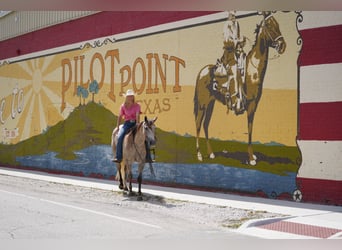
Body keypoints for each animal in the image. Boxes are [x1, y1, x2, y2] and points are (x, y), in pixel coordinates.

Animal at [195, 11, 286, 165]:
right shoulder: (251, 104)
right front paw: (251, 158)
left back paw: (211, 153)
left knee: (206, 125)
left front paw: (252, 156)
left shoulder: (255, 104)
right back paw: (199, 155)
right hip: (202, 104)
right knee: (198, 124)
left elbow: (250, 127)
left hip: (211, 103)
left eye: (278, 23)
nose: (282, 45)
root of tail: (202, 72)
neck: (252, 71)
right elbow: (249, 128)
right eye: (269, 25)